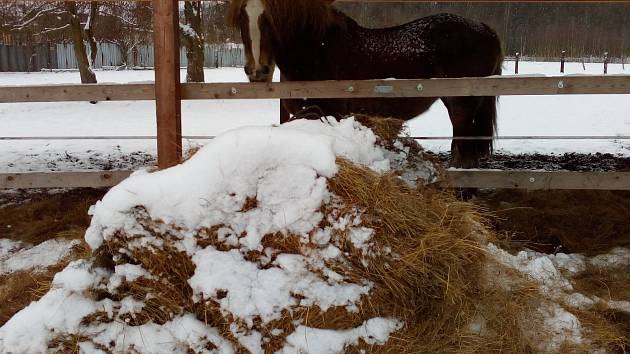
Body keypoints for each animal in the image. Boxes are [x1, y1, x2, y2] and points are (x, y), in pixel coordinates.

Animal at [230, 0, 506, 167]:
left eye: (272, 20)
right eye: (241, 19)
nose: (258, 71)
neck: (318, 51)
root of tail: (487, 29)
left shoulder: (330, 114)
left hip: (462, 107)